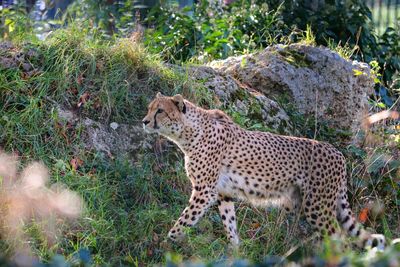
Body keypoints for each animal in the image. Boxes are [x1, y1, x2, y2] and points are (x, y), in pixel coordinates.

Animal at [142, 93, 386, 250]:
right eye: (149, 108)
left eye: (160, 110)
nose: (144, 121)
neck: (189, 132)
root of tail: (337, 152)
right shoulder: (223, 193)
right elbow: (229, 223)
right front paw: (235, 251)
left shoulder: (204, 191)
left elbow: (184, 220)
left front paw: (167, 243)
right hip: (299, 202)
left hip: (317, 206)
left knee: (338, 238)